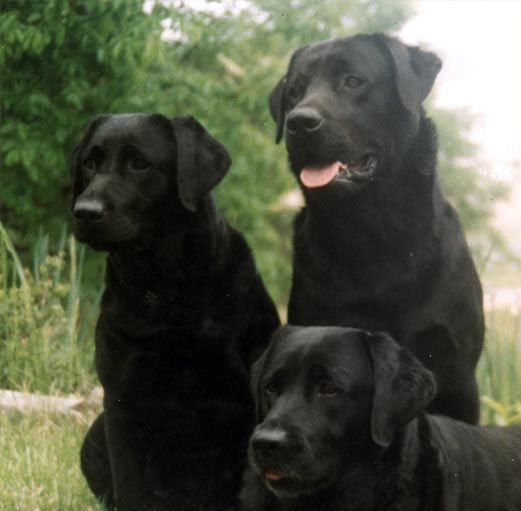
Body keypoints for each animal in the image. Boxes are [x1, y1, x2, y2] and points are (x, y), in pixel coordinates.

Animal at [72, 113, 280, 511]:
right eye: (89, 162)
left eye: (140, 164)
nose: (85, 212)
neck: (166, 290)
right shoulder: (121, 403)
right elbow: (131, 488)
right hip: (95, 430)